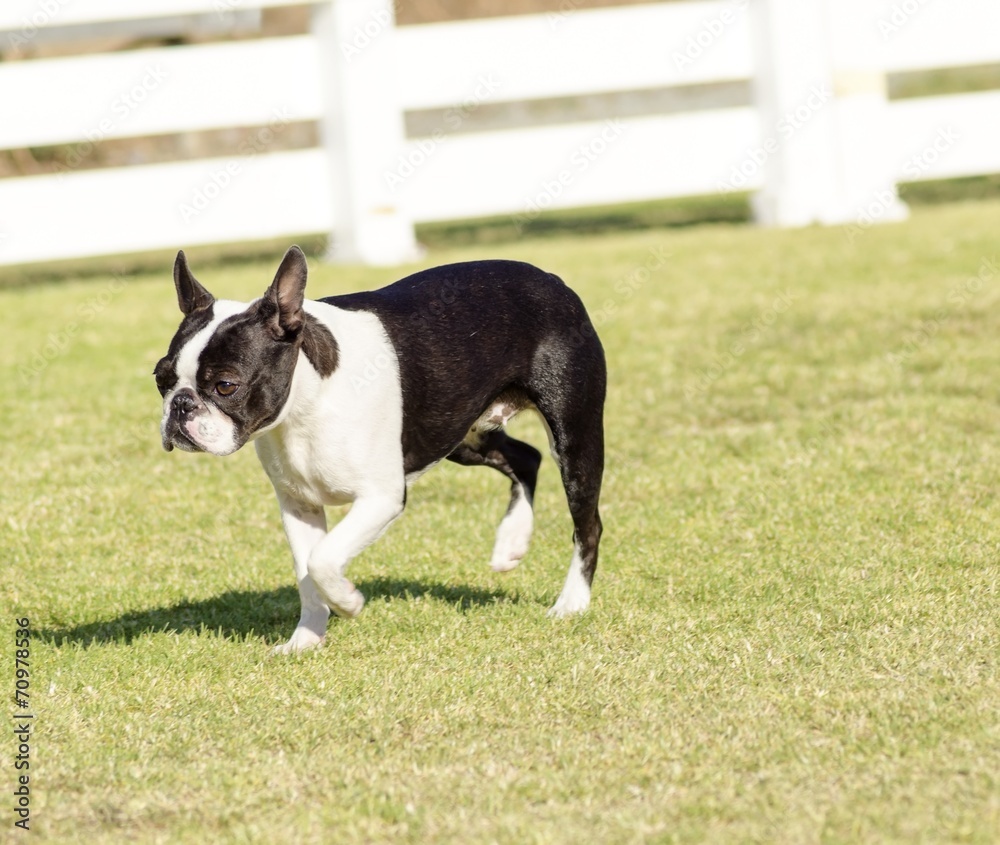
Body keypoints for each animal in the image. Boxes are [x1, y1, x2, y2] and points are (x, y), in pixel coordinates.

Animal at [155, 246, 604, 652]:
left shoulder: (380, 498)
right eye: (161, 380)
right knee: (526, 457)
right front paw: (306, 640)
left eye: (225, 386)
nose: (180, 405)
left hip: (574, 436)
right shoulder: (298, 506)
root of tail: (550, 280)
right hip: (459, 431)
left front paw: (348, 602)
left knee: (587, 524)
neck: (305, 404)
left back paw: (572, 603)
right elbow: (307, 576)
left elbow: (322, 560)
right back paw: (512, 542)